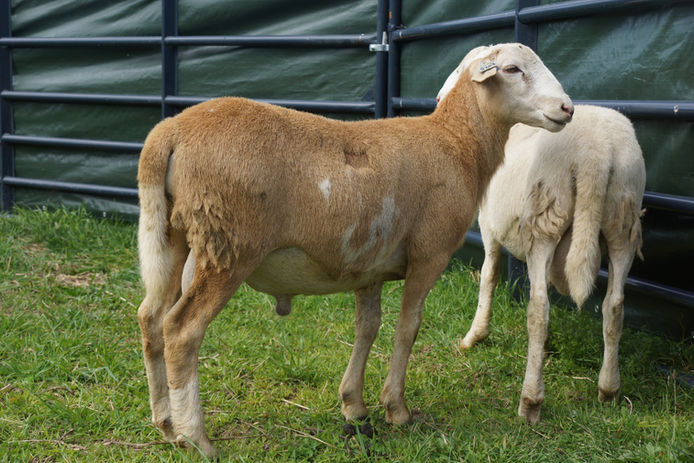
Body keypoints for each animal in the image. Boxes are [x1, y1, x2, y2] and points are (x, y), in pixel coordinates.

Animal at [136, 43, 573, 458]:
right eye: (512, 69)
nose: (567, 108)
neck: (457, 142)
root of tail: (170, 132)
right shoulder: (430, 255)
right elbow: (407, 328)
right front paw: (396, 408)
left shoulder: (369, 265)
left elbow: (367, 328)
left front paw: (354, 404)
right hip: (230, 245)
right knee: (182, 330)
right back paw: (196, 440)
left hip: (175, 238)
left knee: (151, 318)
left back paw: (166, 423)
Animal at [440, 101, 645, 424]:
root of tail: (597, 152)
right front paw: (545, 350)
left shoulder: (488, 221)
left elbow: (489, 274)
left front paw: (475, 336)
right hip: (623, 220)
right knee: (614, 306)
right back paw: (608, 390)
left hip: (545, 216)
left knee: (538, 309)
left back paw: (530, 401)